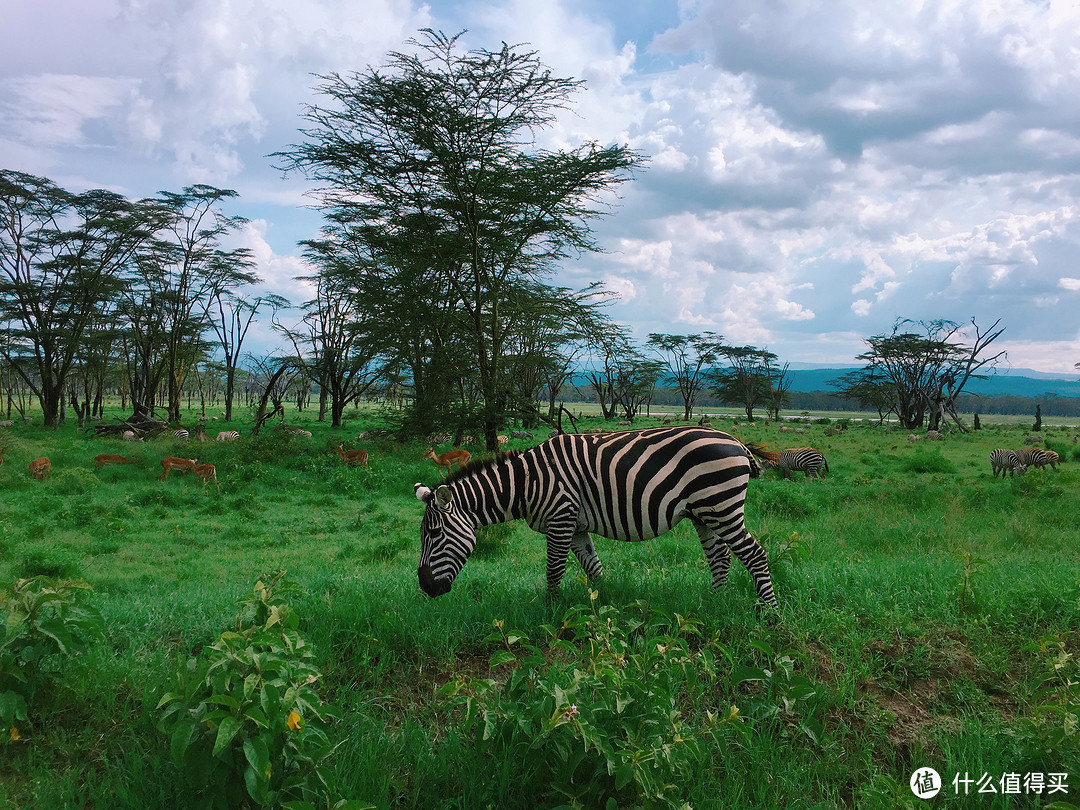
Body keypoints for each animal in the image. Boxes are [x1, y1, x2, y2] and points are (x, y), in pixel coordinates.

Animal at [412, 427, 777, 604]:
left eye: (435, 535)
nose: (425, 587)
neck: (527, 483)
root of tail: (736, 442)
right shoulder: (575, 527)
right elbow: (594, 569)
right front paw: (603, 606)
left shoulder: (560, 518)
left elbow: (553, 571)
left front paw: (550, 614)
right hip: (705, 513)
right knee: (720, 558)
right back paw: (716, 602)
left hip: (722, 506)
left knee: (754, 555)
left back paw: (767, 613)